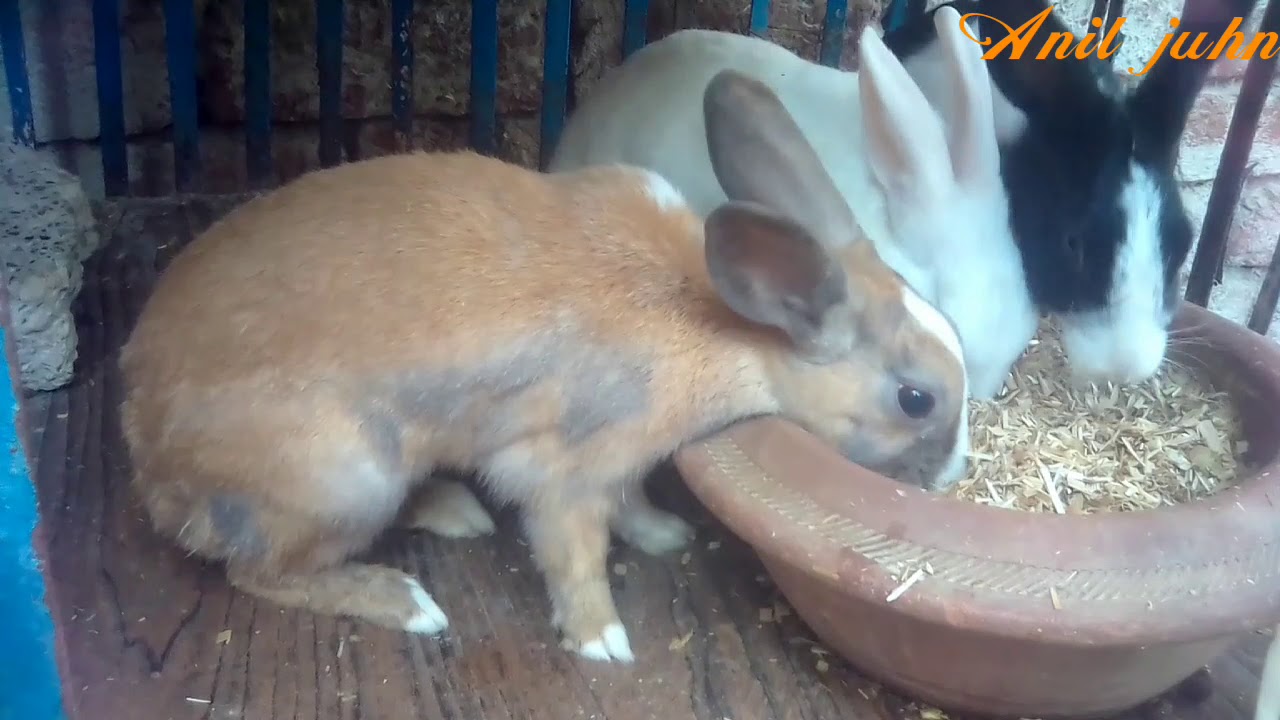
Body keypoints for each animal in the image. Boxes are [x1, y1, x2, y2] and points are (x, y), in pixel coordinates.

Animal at [118, 68, 970, 665]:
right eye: (916, 399)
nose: (950, 474)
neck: (726, 324)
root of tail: (149, 461)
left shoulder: (617, 465)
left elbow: (630, 505)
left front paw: (664, 536)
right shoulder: (566, 473)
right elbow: (576, 555)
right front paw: (603, 642)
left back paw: (456, 512)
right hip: (345, 478)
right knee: (257, 574)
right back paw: (408, 602)